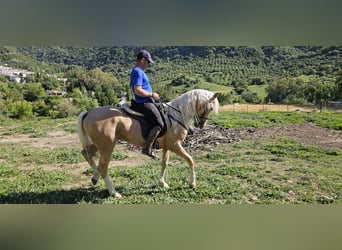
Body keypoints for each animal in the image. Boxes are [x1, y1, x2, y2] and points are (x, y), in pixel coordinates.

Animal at [77, 89, 219, 198]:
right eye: (210, 107)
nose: (200, 125)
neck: (176, 115)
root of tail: (89, 112)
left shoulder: (167, 146)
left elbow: (164, 163)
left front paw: (162, 183)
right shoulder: (175, 145)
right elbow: (190, 160)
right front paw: (192, 184)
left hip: (98, 145)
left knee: (86, 154)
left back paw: (95, 177)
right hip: (107, 146)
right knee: (103, 167)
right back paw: (114, 192)